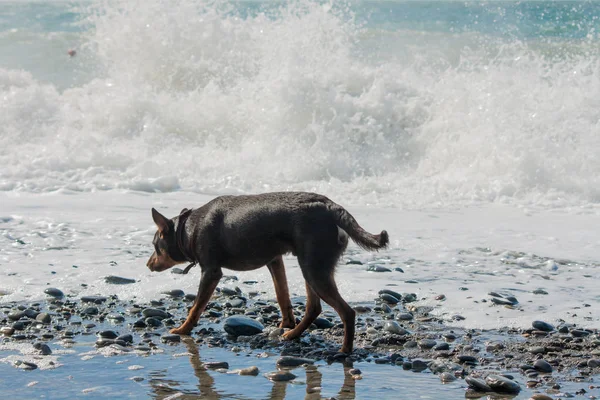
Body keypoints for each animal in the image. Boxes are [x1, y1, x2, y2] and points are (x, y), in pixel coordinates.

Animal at [147, 192, 386, 352]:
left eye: (155, 246)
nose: (148, 264)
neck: (188, 229)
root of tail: (331, 206)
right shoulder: (275, 260)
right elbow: (283, 296)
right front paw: (286, 323)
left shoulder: (211, 272)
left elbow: (196, 307)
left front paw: (182, 330)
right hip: (311, 267)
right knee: (314, 308)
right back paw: (293, 334)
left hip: (314, 269)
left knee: (347, 312)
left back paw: (344, 351)